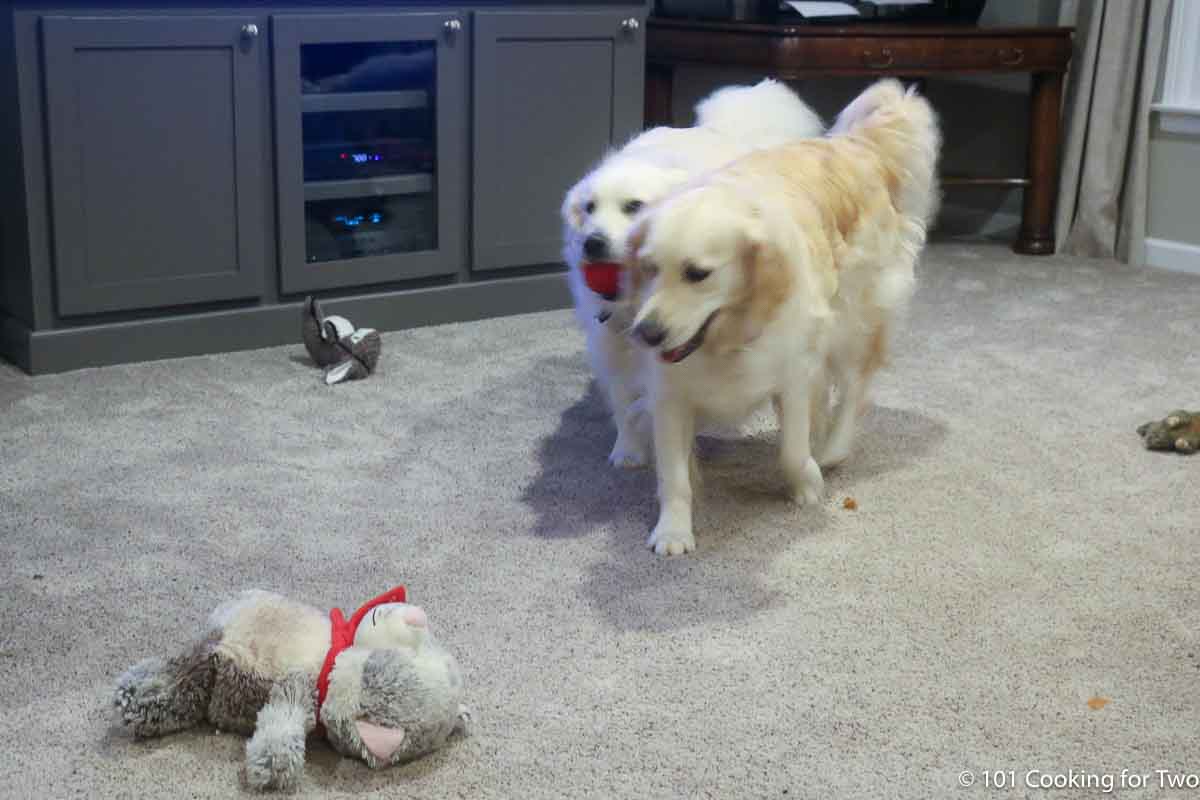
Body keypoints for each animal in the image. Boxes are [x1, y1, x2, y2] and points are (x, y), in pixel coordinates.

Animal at [561, 79, 825, 470]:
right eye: (590, 208)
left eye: (633, 206)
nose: (591, 243)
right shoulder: (612, 342)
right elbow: (623, 400)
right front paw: (628, 450)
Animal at [624, 82, 940, 556]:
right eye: (648, 268)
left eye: (697, 274)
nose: (646, 334)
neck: (728, 336)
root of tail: (856, 146)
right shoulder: (671, 395)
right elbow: (674, 476)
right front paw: (673, 531)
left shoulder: (792, 375)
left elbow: (791, 449)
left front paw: (807, 483)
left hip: (852, 320)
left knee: (856, 385)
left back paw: (833, 448)